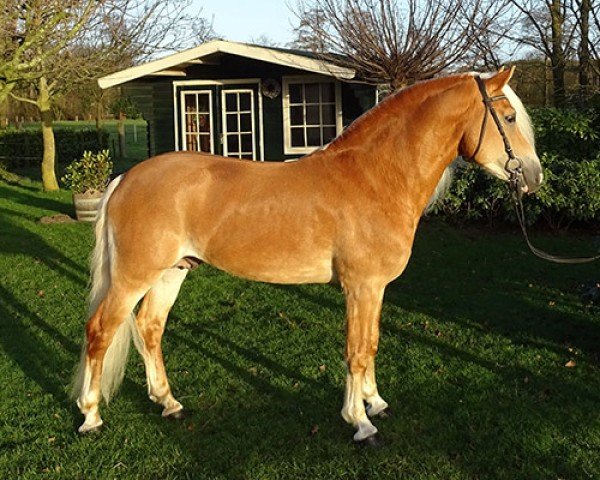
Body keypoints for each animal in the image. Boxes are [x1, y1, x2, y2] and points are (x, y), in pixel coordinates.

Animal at [71, 66, 544, 442]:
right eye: (508, 116)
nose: (535, 177)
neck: (375, 176)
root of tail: (126, 179)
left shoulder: (374, 290)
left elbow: (371, 344)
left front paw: (375, 402)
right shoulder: (361, 287)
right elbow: (356, 351)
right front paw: (360, 422)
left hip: (172, 271)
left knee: (149, 328)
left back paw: (168, 402)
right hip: (133, 277)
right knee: (100, 331)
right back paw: (90, 416)